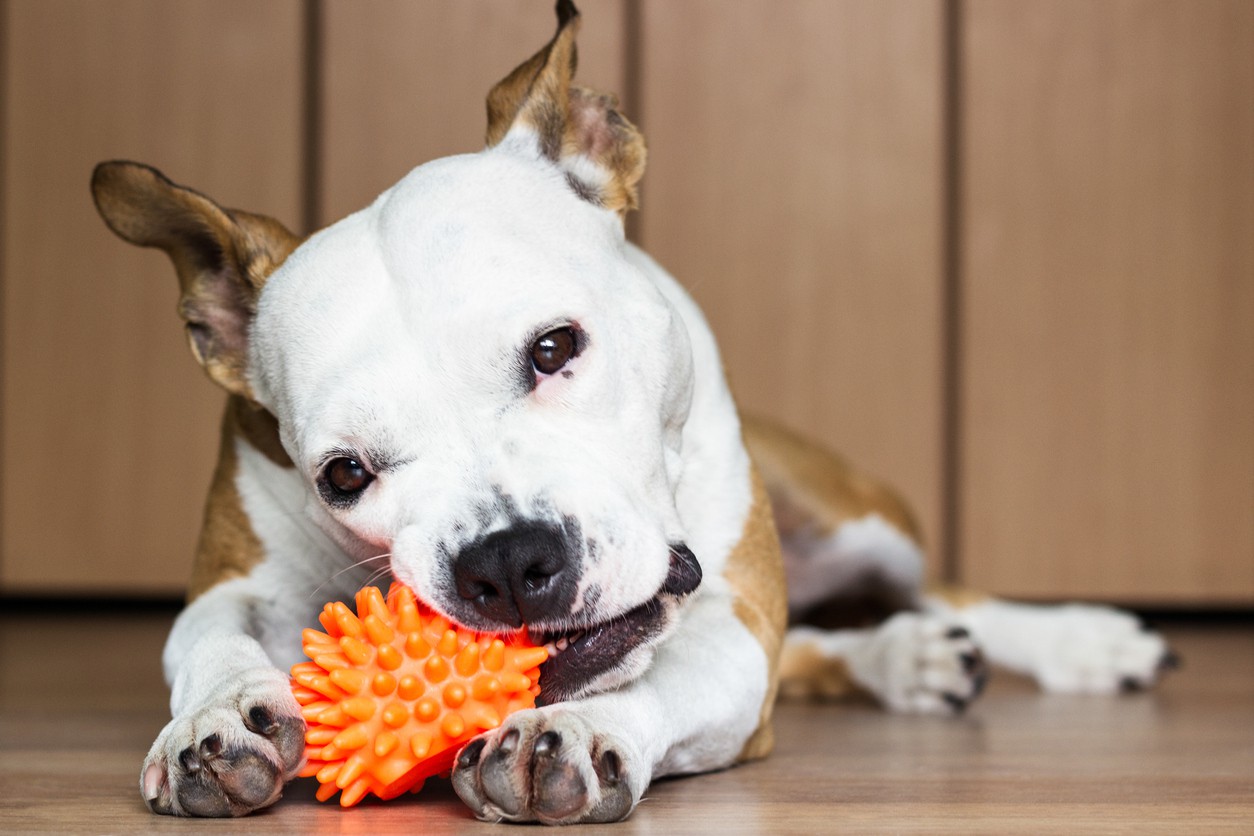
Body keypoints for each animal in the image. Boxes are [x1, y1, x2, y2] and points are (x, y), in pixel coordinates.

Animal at [90, 1, 1173, 822]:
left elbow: (670, 675)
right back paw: (904, 659)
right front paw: (213, 721)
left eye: (555, 348)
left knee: (941, 590)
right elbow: (206, 636)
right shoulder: (234, 574)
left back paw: (1082, 641)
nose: (507, 561)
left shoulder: (734, 624)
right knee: (826, 646)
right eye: (344, 473)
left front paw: (577, 729)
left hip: (863, 520)